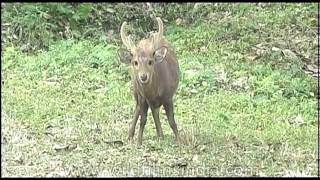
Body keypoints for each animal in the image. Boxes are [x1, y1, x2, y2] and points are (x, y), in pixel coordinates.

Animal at [117, 17, 181, 146]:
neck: (156, 90)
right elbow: (143, 119)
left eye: (150, 61)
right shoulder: (144, 98)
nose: (143, 77)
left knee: (154, 113)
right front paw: (139, 141)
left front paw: (180, 140)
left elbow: (171, 120)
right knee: (139, 109)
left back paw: (160, 135)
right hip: (136, 90)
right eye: (135, 62)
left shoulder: (168, 96)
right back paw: (131, 136)